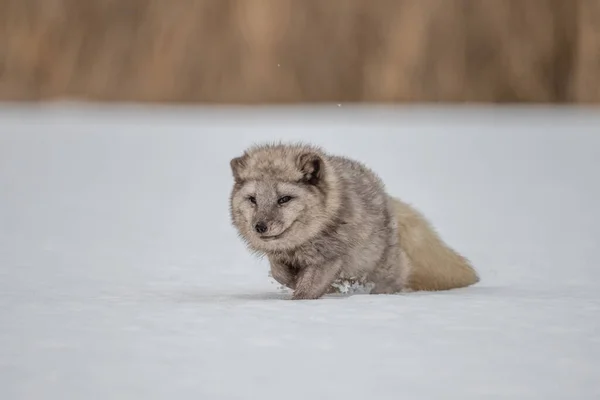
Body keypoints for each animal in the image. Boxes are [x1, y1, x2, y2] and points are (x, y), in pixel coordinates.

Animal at [229, 142, 478, 298]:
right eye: (253, 199)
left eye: (284, 199)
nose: (260, 227)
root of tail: (387, 198)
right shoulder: (280, 256)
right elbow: (279, 273)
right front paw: (293, 279)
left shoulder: (330, 258)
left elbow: (306, 290)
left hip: (381, 270)